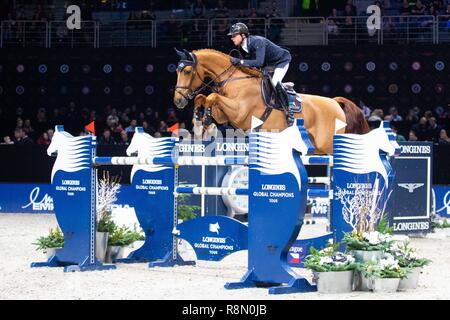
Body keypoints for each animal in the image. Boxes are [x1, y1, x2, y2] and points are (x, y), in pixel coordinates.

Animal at [172, 48, 370, 155]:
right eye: (176, 71)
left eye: (187, 71)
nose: (178, 101)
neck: (234, 80)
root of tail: (335, 103)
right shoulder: (225, 114)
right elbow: (204, 98)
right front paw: (200, 118)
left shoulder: (240, 112)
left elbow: (212, 97)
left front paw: (204, 118)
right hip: (317, 147)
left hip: (326, 143)